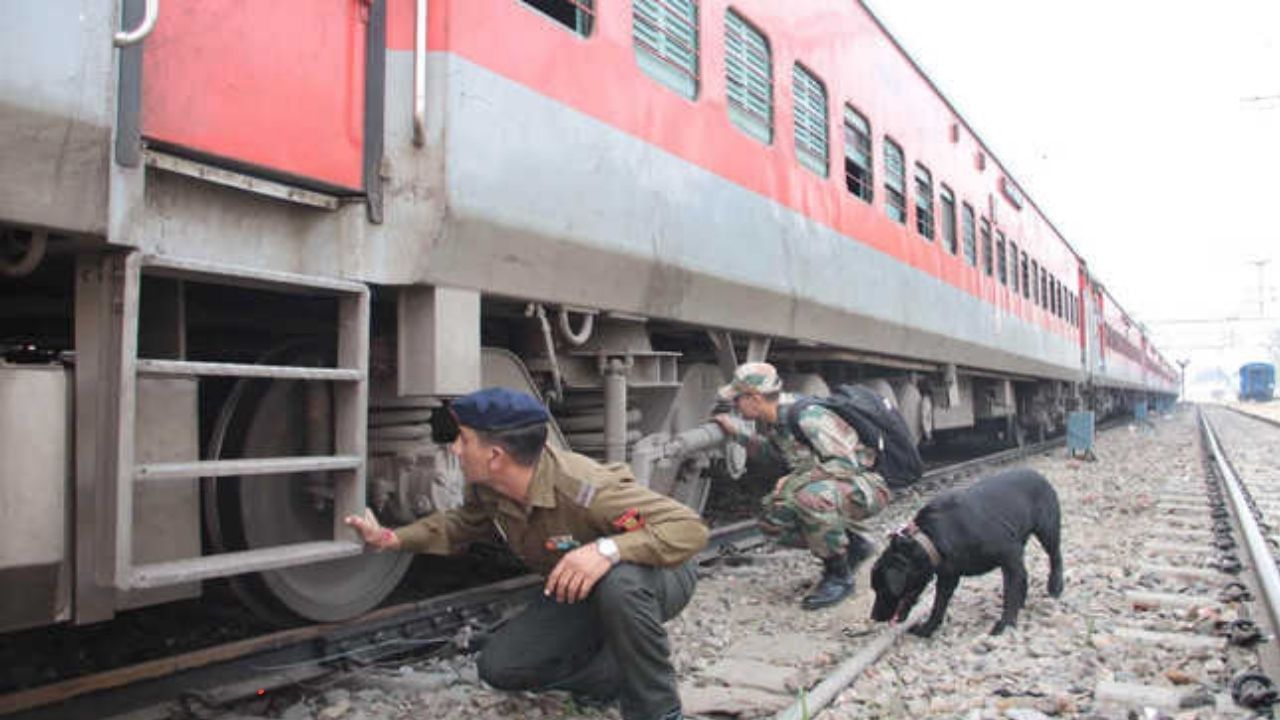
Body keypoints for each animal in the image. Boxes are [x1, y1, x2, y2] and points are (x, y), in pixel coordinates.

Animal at [870, 468, 1059, 635]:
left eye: (883, 590)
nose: (874, 617)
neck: (934, 537)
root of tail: (1036, 473)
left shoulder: (1009, 554)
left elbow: (1009, 594)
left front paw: (1005, 625)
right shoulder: (948, 576)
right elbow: (938, 605)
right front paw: (927, 629)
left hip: (1047, 529)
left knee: (1054, 556)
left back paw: (1055, 586)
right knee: (1024, 574)